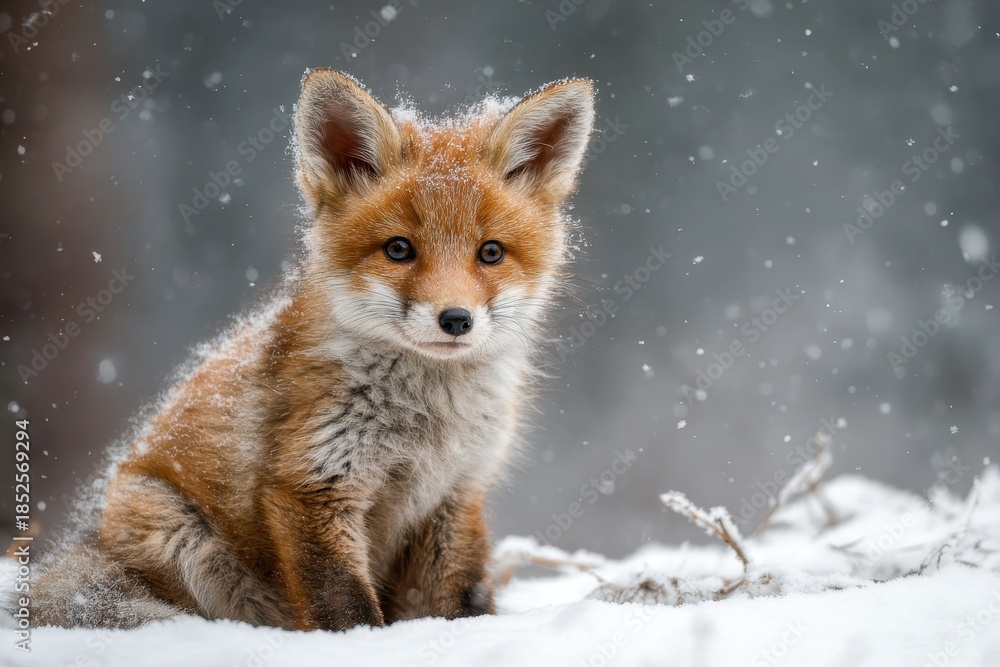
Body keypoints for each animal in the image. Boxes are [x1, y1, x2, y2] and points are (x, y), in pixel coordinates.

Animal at [23, 69, 596, 630]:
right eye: (398, 249)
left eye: (491, 252)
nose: (455, 320)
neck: (429, 421)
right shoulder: (312, 483)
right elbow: (345, 608)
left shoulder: (458, 493)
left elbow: (461, 599)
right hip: (177, 534)